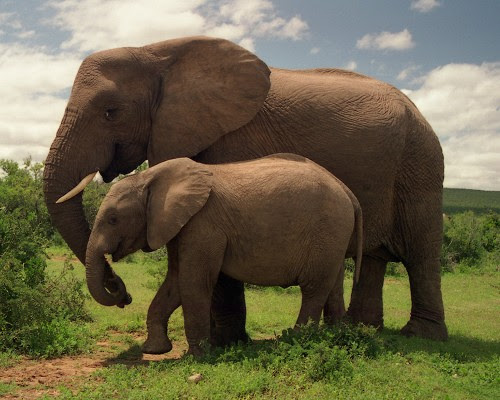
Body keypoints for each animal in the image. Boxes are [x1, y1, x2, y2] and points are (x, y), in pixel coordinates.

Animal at [85, 152, 360, 354]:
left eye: (112, 219)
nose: (125, 297)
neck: (149, 177)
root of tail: (347, 190)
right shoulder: (178, 226)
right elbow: (174, 282)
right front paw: (155, 350)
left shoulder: (203, 225)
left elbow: (192, 282)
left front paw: (198, 356)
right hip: (334, 236)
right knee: (333, 286)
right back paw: (336, 336)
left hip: (327, 229)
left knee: (313, 288)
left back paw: (296, 340)